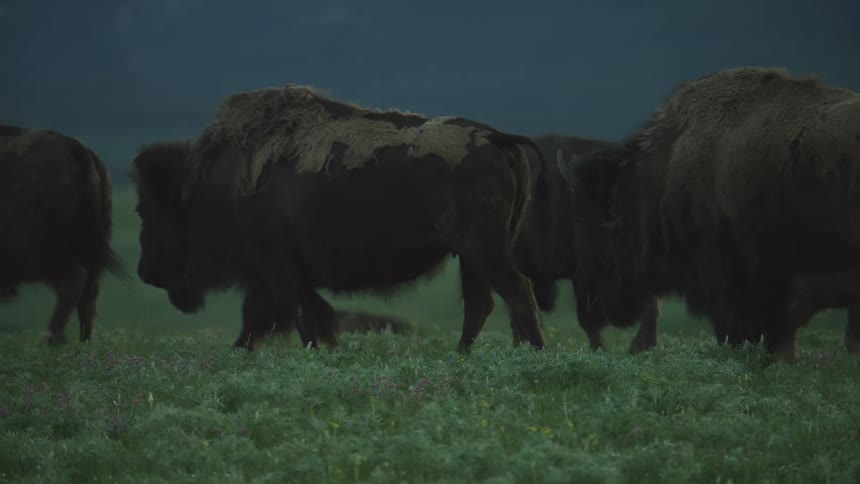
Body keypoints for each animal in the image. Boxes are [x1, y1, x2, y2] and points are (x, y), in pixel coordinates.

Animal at [0, 124, 127, 343]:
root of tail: (73, 146)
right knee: (88, 295)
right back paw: (82, 340)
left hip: (38, 254)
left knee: (74, 280)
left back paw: (54, 336)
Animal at [131, 84, 548, 351]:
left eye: (148, 209)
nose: (145, 272)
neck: (219, 181)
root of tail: (496, 138)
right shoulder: (279, 275)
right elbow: (285, 316)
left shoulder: (277, 268)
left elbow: (293, 315)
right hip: (472, 255)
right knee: (482, 303)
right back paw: (464, 354)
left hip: (483, 250)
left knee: (516, 290)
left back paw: (533, 353)